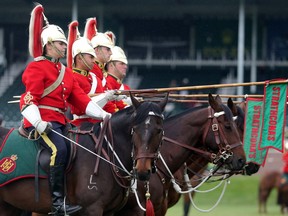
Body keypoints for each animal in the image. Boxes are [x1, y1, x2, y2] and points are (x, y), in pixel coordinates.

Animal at [0, 96, 168, 216]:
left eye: (159, 130)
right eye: (135, 129)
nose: (143, 171)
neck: (105, 152)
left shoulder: (109, 211)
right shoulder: (92, 208)